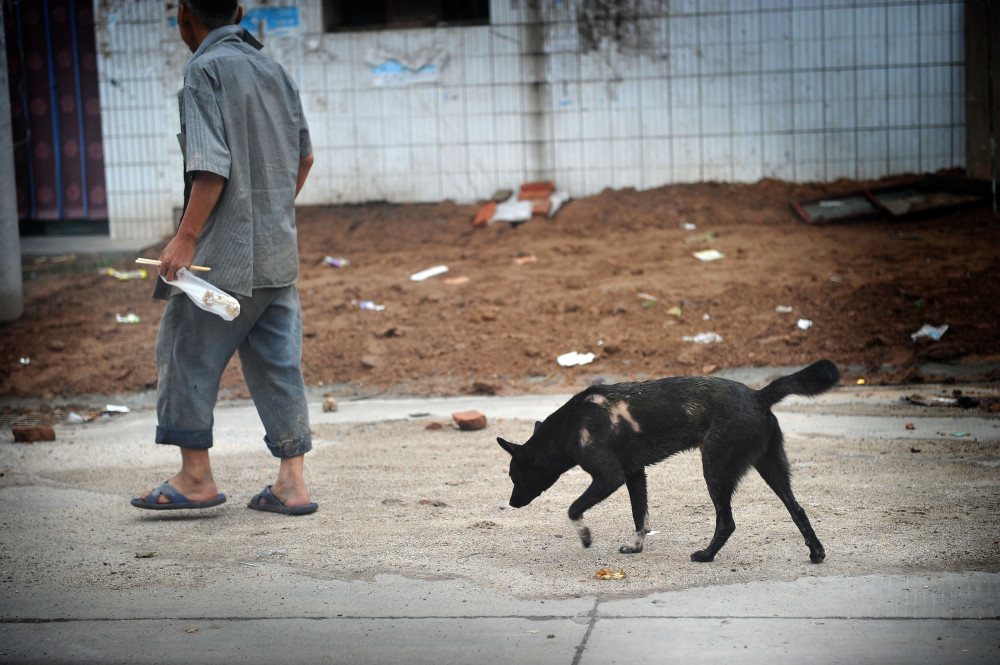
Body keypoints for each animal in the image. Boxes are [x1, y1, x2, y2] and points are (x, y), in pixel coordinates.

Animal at [498, 360, 836, 564]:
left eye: (515, 477)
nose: (511, 503)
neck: (570, 424)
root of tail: (757, 396)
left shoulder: (609, 477)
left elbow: (573, 509)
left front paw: (584, 536)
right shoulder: (634, 475)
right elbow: (640, 519)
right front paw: (636, 547)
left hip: (715, 470)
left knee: (726, 522)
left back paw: (707, 555)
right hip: (772, 469)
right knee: (797, 510)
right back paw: (816, 552)